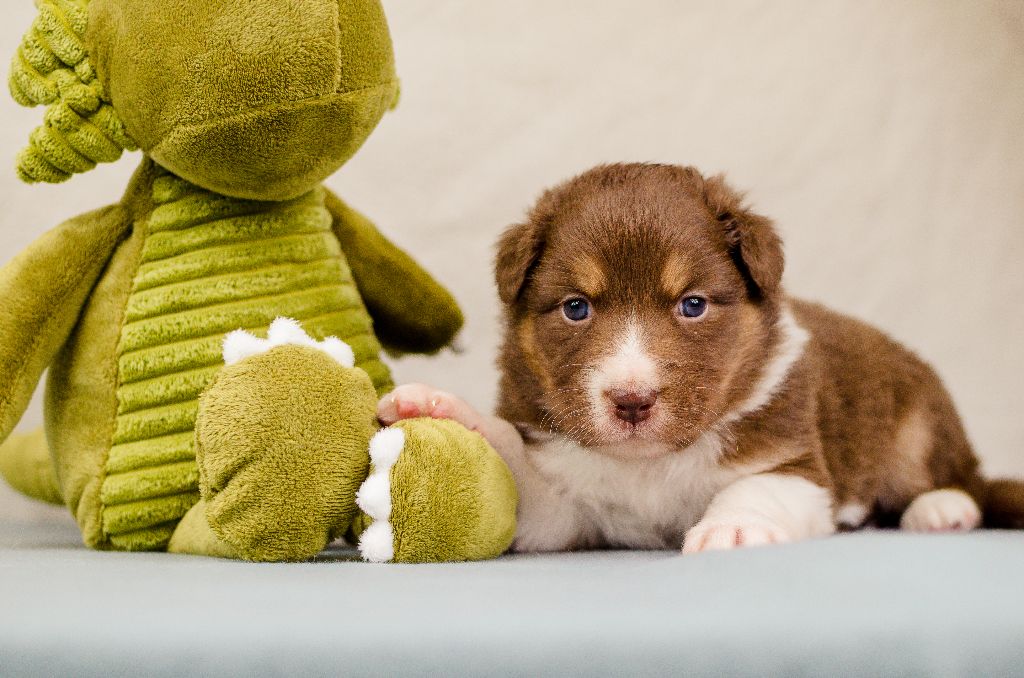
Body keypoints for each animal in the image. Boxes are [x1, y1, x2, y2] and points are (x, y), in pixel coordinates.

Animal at [378, 163, 1024, 553]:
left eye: (693, 304)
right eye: (575, 307)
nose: (632, 402)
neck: (651, 464)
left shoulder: (792, 462)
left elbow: (755, 490)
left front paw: (731, 527)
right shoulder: (568, 510)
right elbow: (521, 474)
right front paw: (441, 408)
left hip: (919, 423)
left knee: (964, 478)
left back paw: (940, 508)